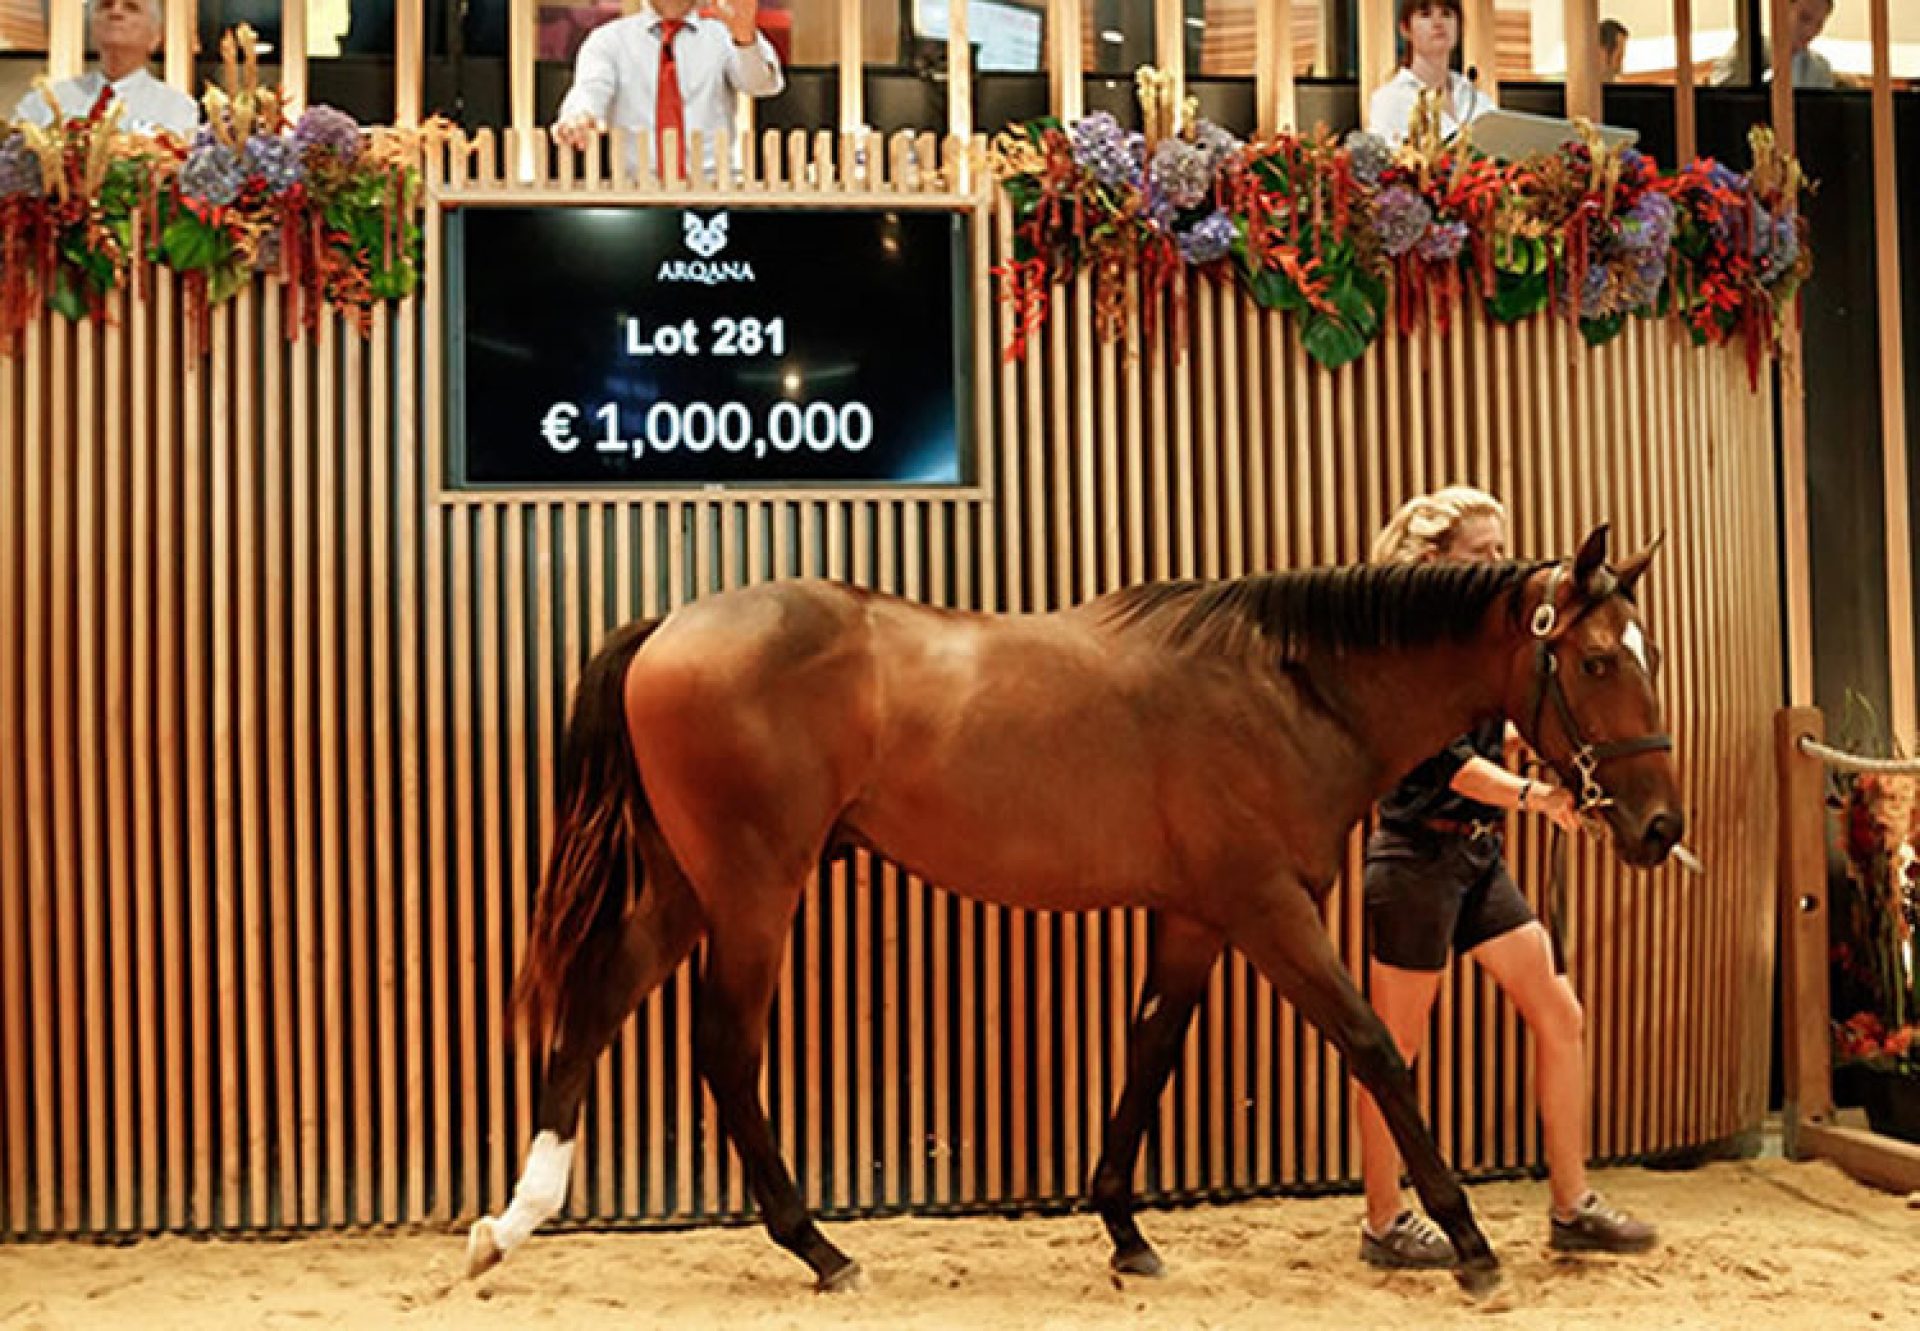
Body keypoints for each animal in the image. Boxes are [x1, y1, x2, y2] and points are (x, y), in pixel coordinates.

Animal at [464, 526, 1681, 1290]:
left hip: (688, 881)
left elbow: (1146, 1056)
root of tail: (670, 624)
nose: (1660, 826)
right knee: (723, 1044)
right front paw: (1471, 1240)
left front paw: (1125, 1230)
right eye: (1592, 658)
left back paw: (512, 1221)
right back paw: (818, 1247)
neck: (1285, 683)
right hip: (754, 884)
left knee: (599, 1001)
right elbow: (1376, 1046)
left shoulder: (1195, 917)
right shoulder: (1267, 909)